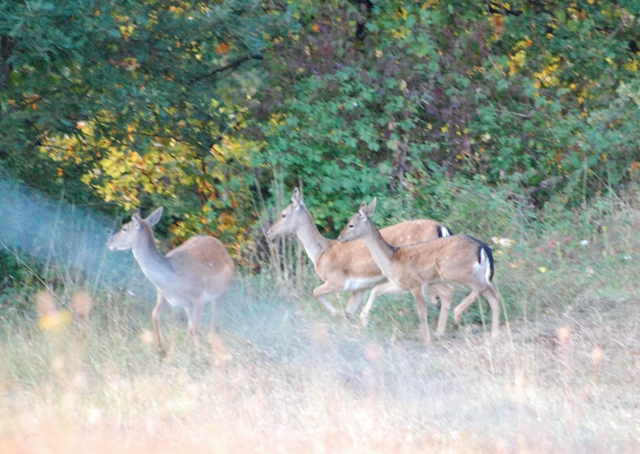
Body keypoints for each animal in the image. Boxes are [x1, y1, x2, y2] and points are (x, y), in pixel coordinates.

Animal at [107, 207, 235, 354]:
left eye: (124, 228)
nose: (109, 240)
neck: (172, 280)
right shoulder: (163, 294)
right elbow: (155, 314)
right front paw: (161, 347)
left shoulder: (198, 297)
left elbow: (196, 328)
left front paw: (199, 354)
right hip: (188, 305)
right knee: (190, 323)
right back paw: (185, 345)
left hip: (222, 290)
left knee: (213, 316)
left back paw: (209, 341)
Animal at [264, 186, 456, 328]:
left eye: (283, 214)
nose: (269, 231)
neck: (320, 253)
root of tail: (443, 228)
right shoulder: (358, 288)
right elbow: (349, 312)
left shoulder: (337, 280)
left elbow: (315, 292)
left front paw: (337, 314)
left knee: (445, 292)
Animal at [338, 199, 502, 344]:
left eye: (351, 225)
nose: (340, 237)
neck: (391, 259)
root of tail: (483, 247)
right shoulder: (400, 284)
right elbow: (376, 289)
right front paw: (363, 319)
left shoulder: (416, 283)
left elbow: (422, 312)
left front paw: (426, 341)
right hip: (470, 274)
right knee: (492, 294)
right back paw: (493, 335)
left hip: (456, 270)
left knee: (484, 289)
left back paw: (457, 316)